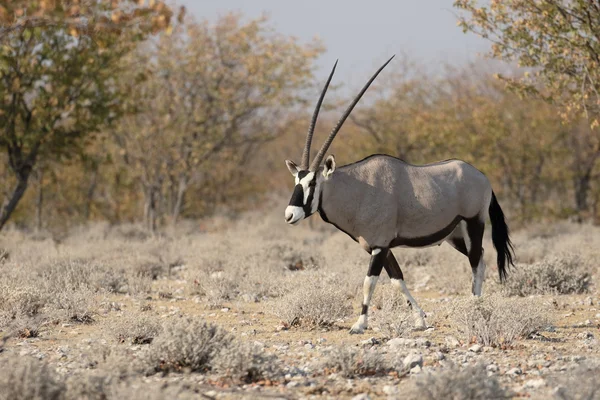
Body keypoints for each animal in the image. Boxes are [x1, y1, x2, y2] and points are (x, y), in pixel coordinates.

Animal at [284, 54, 512, 332]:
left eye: (313, 183)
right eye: (296, 180)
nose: (289, 215)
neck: (357, 189)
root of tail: (482, 176)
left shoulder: (380, 246)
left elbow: (369, 282)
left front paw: (359, 324)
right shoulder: (379, 247)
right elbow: (397, 279)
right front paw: (420, 319)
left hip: (474, 224)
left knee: (477, 263)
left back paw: (475, 308)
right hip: (456, 235)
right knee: (480, 260)